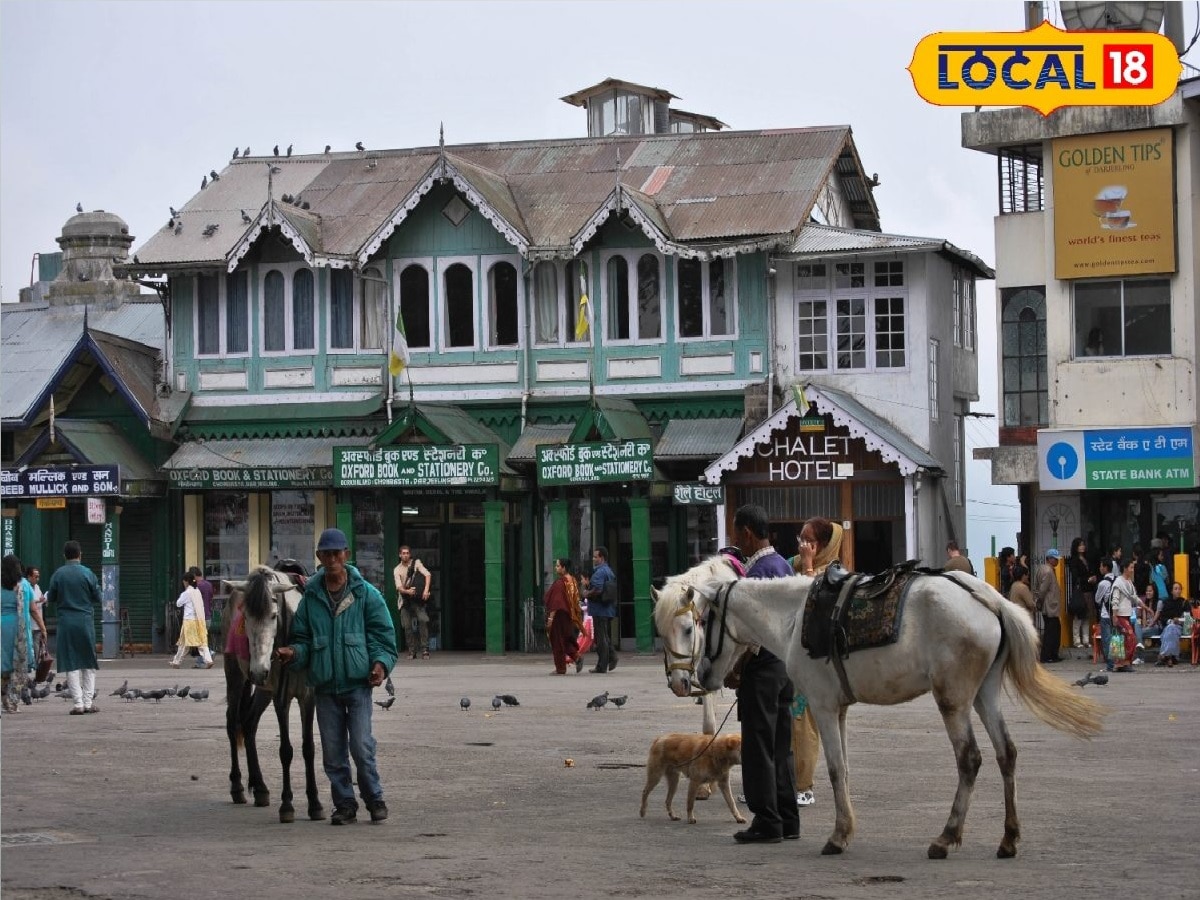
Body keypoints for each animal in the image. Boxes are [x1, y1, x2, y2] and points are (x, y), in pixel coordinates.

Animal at [657, 556, 1104, 859]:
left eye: (696, 624)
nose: (696, 678)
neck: (793, 618)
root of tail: (988, 600)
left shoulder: (823, 706)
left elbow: (835, 769)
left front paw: (838, 837)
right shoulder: (838, 709)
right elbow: (845, 768)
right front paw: (847, 827)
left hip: (954, 701)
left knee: (971, 759)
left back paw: (946, 837)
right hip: (984, 695)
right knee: (1006, 754)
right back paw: (1008, 839)